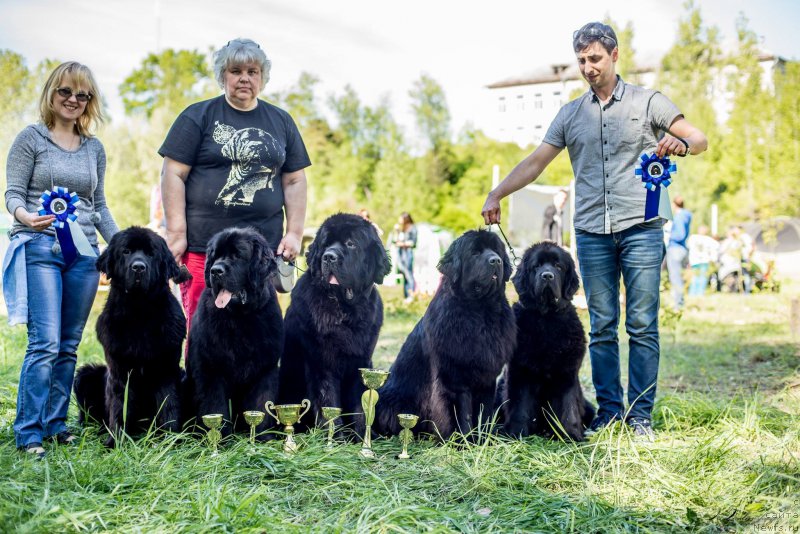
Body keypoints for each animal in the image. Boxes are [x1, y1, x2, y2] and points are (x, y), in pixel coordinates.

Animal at [73, 226, 189, 448]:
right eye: (126, 252)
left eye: (151, 254)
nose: (138, 268)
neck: (139, 310)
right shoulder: (119, 371)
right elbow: (120, 406)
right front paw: (116, 441)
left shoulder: (167, 369)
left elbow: (169, 404)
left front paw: (171, 440)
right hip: (85, 375)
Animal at [184, 226, 284, 440]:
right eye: (215, 256)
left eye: (238, 256)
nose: (215, 271)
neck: (241, 318)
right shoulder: (210, 370)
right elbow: (216, 406)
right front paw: (220, 440)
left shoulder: (265, 370)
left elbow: (260, 405)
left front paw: (262, 439)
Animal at [280, 211, 392, 434]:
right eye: (325, 244)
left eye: (351, 243)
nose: (329, 257)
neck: (345, 310)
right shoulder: (321, 362)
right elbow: (327, 401)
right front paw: (334, 436)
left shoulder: (361, 362)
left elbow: (359, 404)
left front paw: (362, 435)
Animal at [376, 232, 520, 442]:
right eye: (475, 253)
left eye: (496, 250)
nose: (496, 260)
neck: (480, 311)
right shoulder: (453, 378)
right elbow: (458, 413)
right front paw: (461, 441)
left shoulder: (486, 378)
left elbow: (483, 412)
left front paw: (483, 439)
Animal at [500, 244, 592, 444]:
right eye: (536, 266)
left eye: (558, 266)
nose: (547, 276)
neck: (547, 317)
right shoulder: (520, 373)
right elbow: (519, 407)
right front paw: (516, 434)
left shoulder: (567, 373)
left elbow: (568, 408)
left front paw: (571, 435)